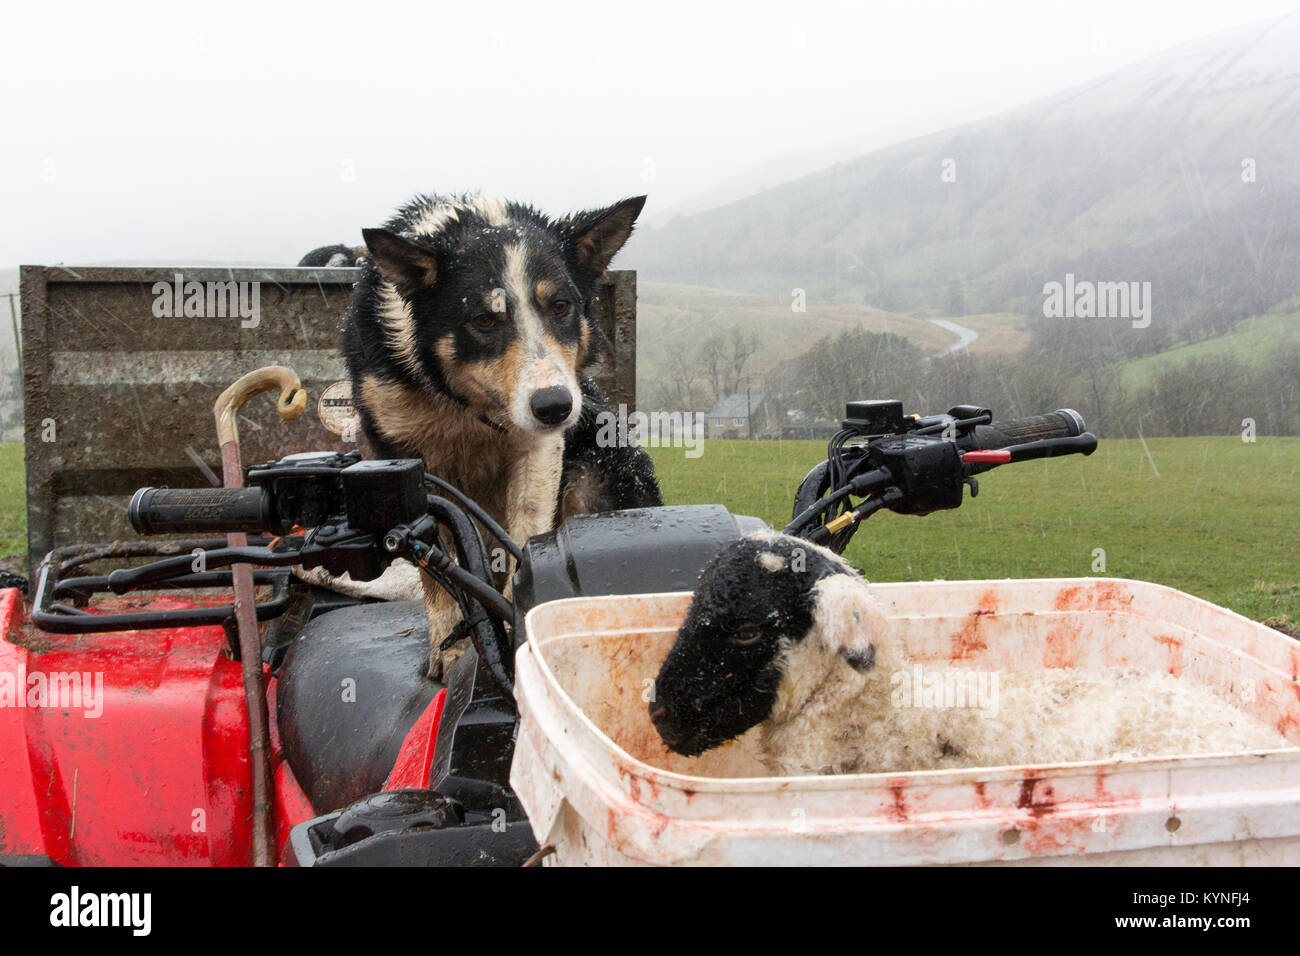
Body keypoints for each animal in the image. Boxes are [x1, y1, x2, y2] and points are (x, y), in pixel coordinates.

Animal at [340, 192, 660, 671]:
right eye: (484, 321)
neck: (467, 405)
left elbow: (528, 535)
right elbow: (431, 557)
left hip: (598, 472)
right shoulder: (398, 453)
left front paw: (518, 627)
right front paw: (449, 646)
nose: (555, 406)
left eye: (561, 306)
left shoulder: (540, 448)